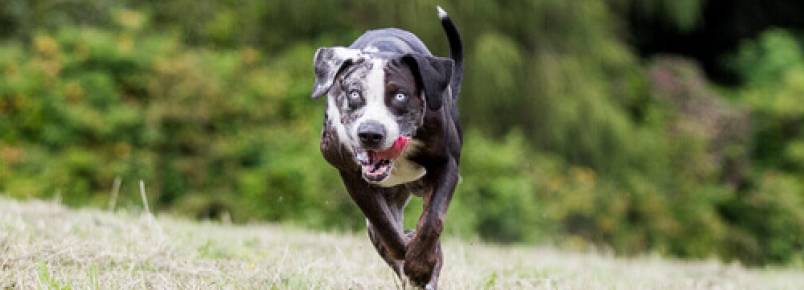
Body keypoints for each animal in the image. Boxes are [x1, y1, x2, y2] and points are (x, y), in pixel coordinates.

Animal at [312, 5, 464, 288]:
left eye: (400, 96)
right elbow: (384, 225)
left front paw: (421, 262)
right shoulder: (352, 175)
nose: (371, 134)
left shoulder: (446, 164)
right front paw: (411, 255)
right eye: (354, 93)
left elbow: (433, 220)